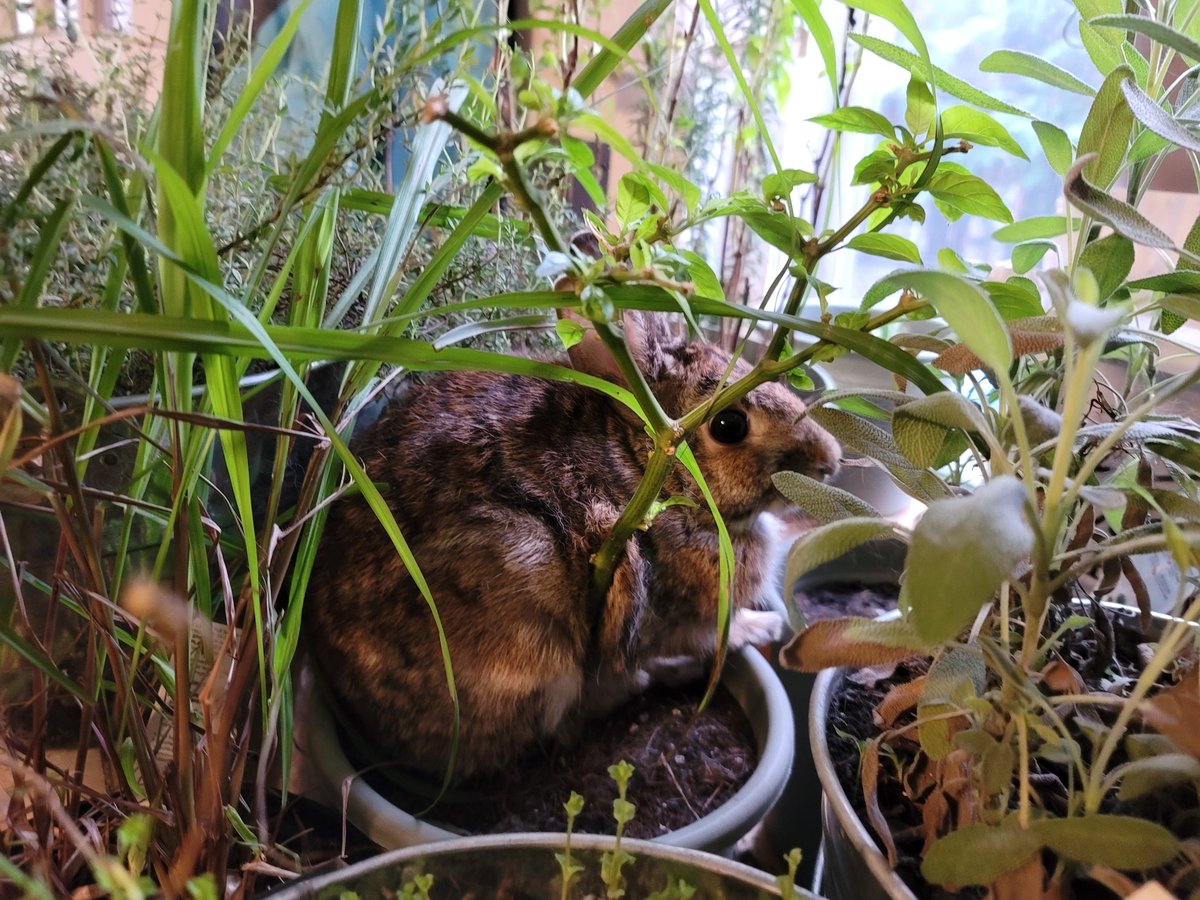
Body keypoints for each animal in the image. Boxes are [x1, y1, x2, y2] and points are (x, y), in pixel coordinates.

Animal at [304, 310, 840, 779]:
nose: (831, 460)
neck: (645, 467)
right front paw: (763, 628)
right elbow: (711, 634)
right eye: (729, 425)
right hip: (533, 631)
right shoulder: (673, 618)